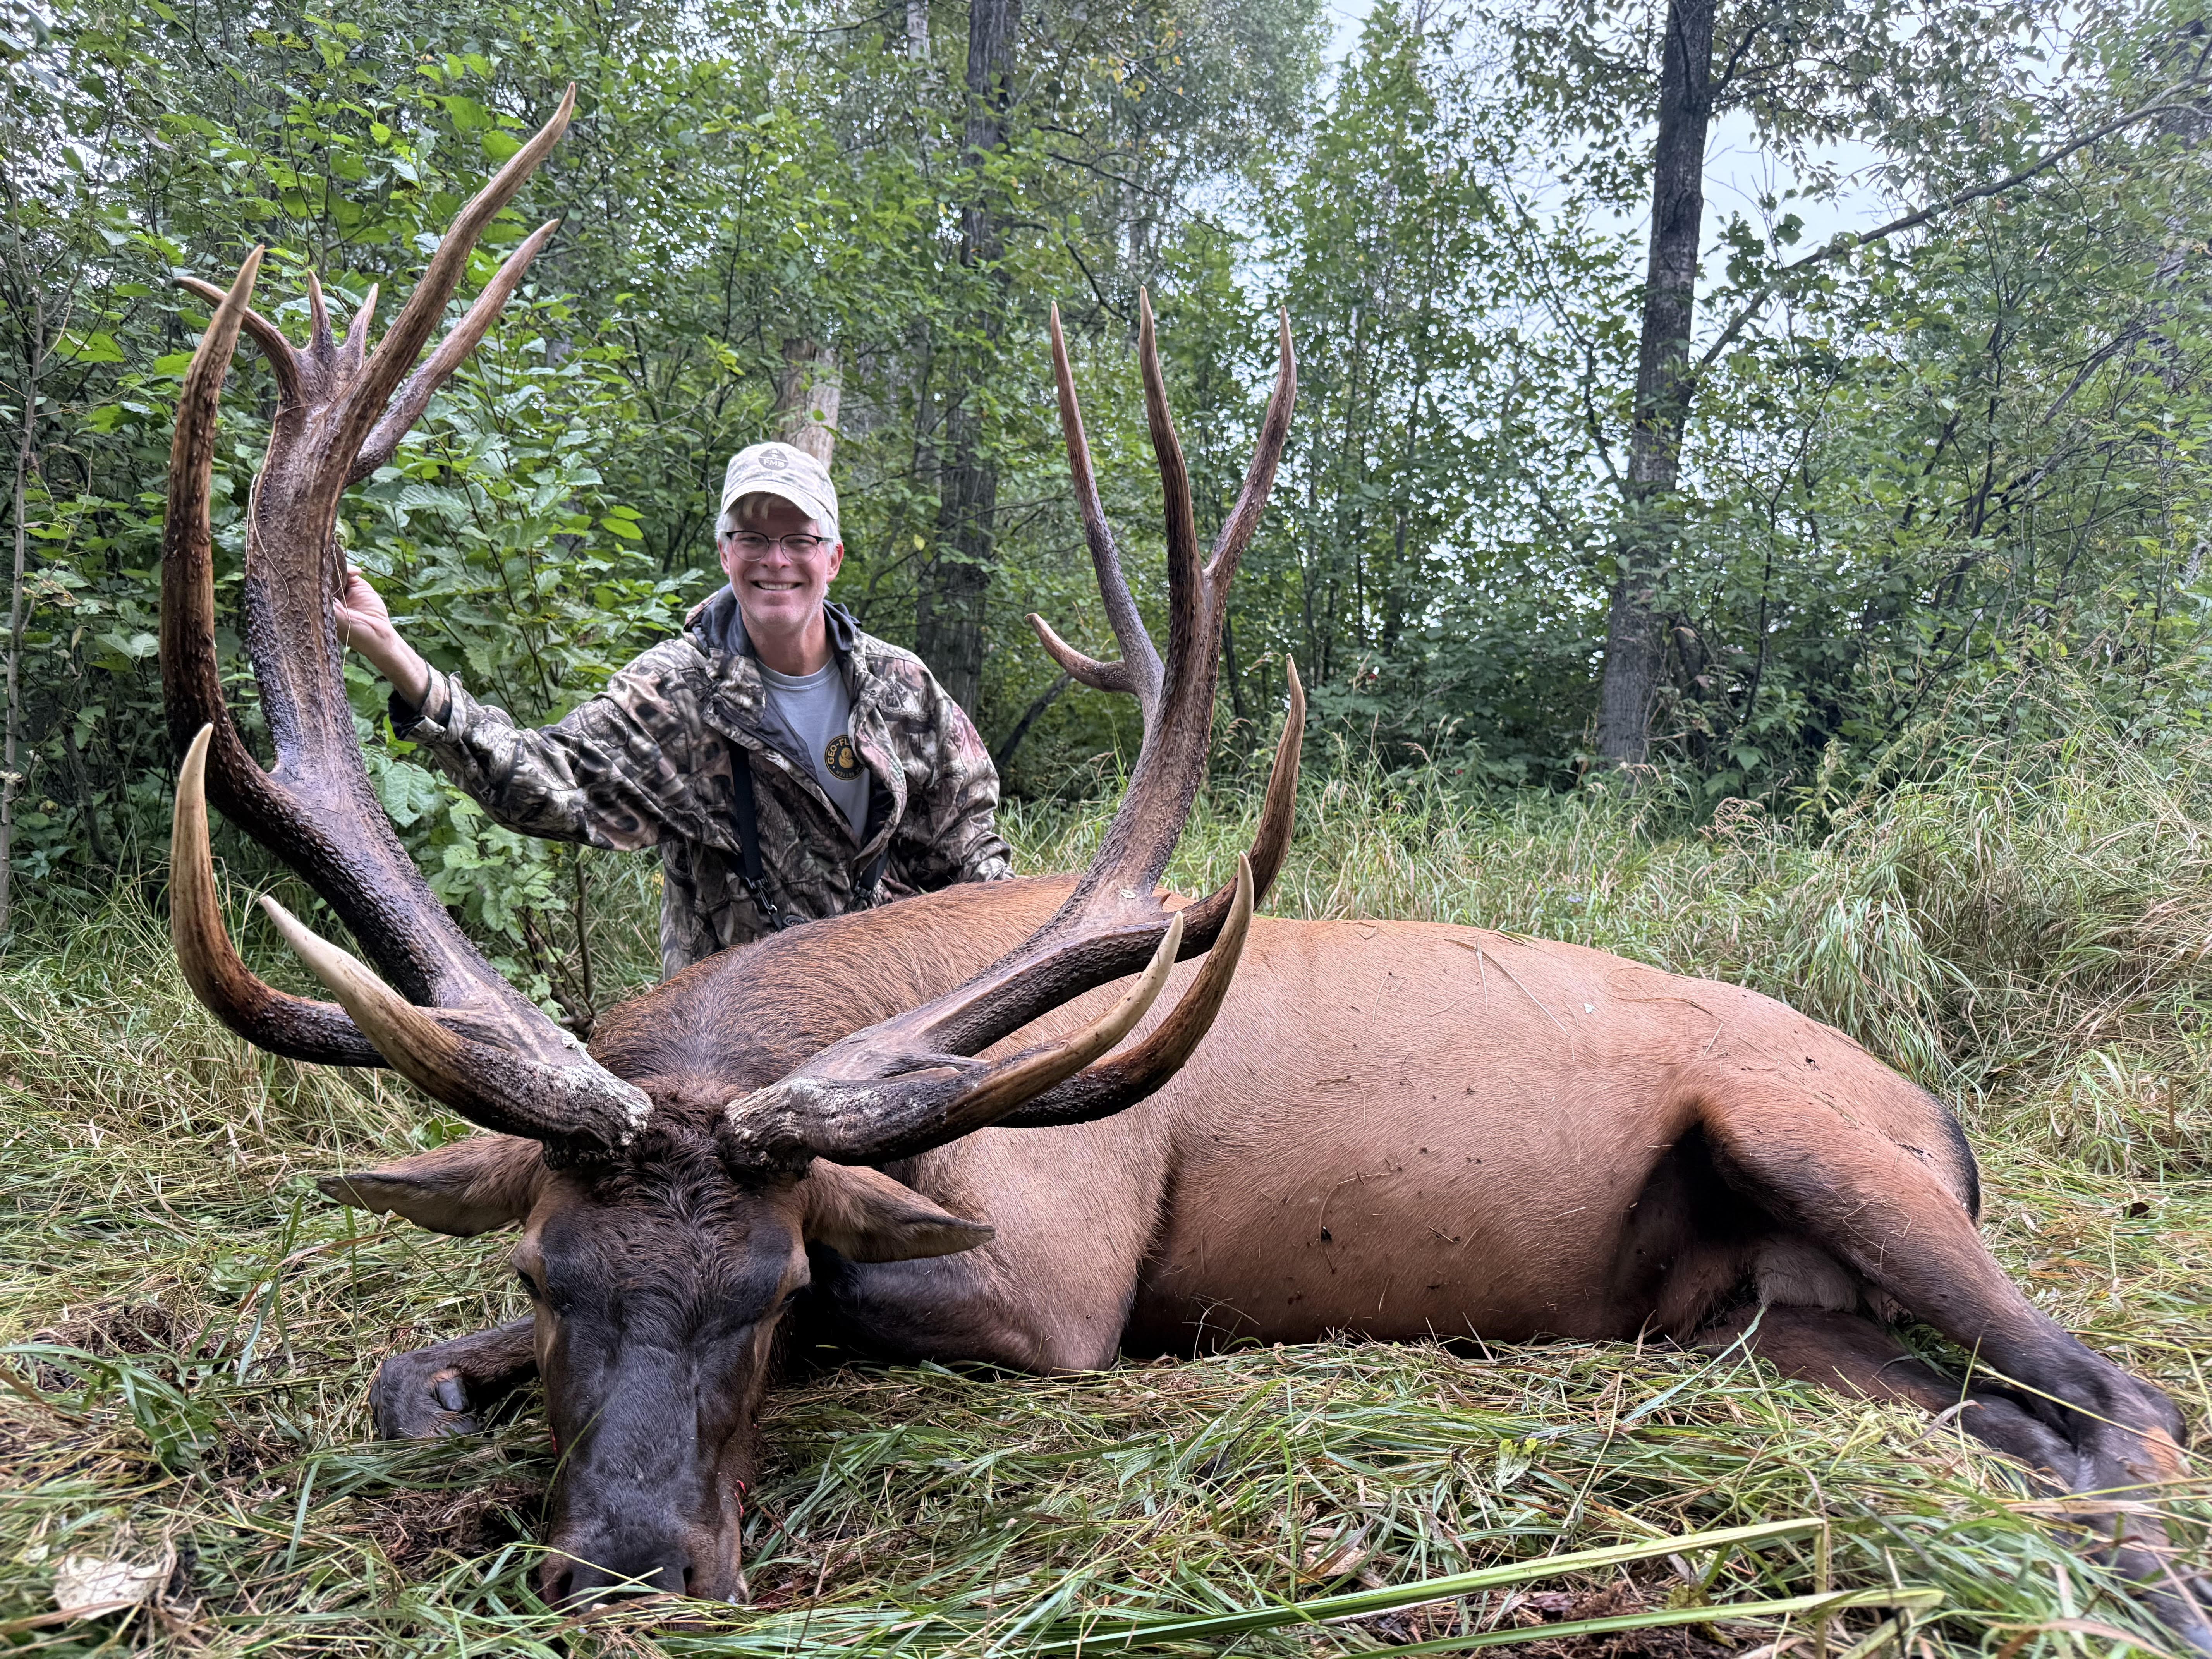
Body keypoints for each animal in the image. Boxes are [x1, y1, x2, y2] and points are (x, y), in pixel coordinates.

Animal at [160, 92, 2206, 1646]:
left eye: (769, 1289)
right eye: (556, 1261)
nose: (638, 1568)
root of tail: (1945, 1111)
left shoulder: (1059, 1279)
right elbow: (417, 1375)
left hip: (1814, 1141)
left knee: (2128, 1400)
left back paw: (2147, 1589)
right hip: (1759, 1323)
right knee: (2002, 1415)